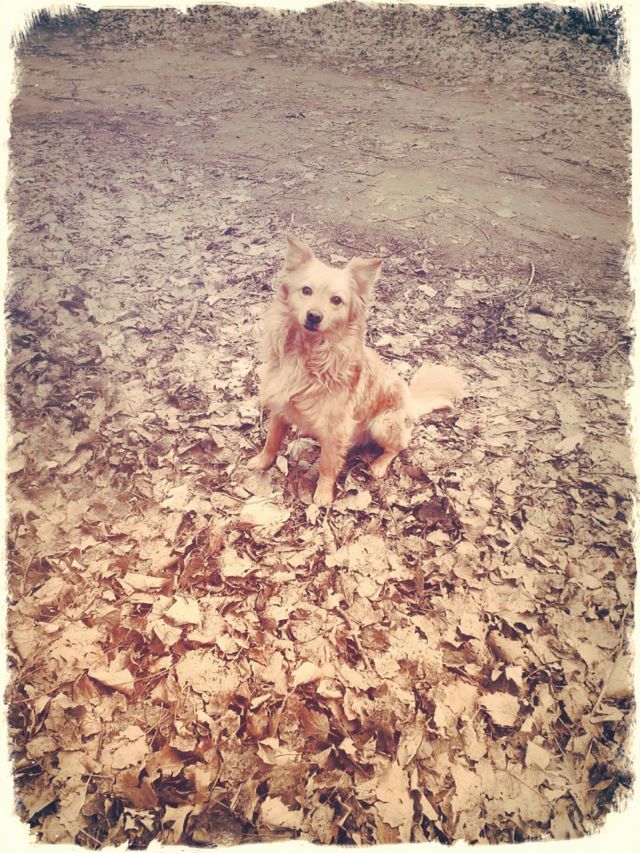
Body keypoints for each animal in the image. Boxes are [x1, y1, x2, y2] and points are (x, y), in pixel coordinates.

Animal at [248, 235, 464, 505]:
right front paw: (261, 462)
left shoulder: (336, 429)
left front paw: (322, 495)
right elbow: (271, 440)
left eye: (336, 300)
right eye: (306, 290)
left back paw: (380, 464)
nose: (314, 316)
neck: (307, 354)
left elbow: (327, 466)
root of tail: (410, 402)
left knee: (400, 445)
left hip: (383, 425)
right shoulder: (280, 407)